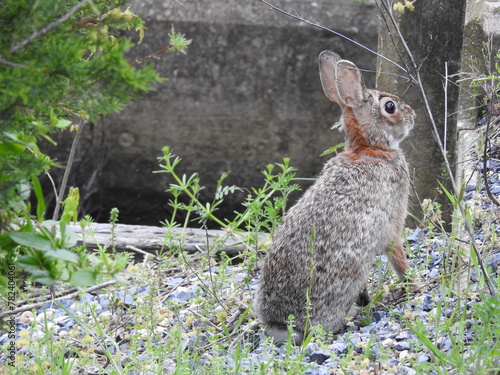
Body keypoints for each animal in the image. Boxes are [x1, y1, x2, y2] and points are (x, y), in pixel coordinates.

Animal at [254, 50, 418, 346]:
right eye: (390, 107)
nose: (413, 115)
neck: (369, 148)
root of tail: (282, 325)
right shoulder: (392, 225)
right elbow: (398, 257)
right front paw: (415, 285)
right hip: (349, 273)